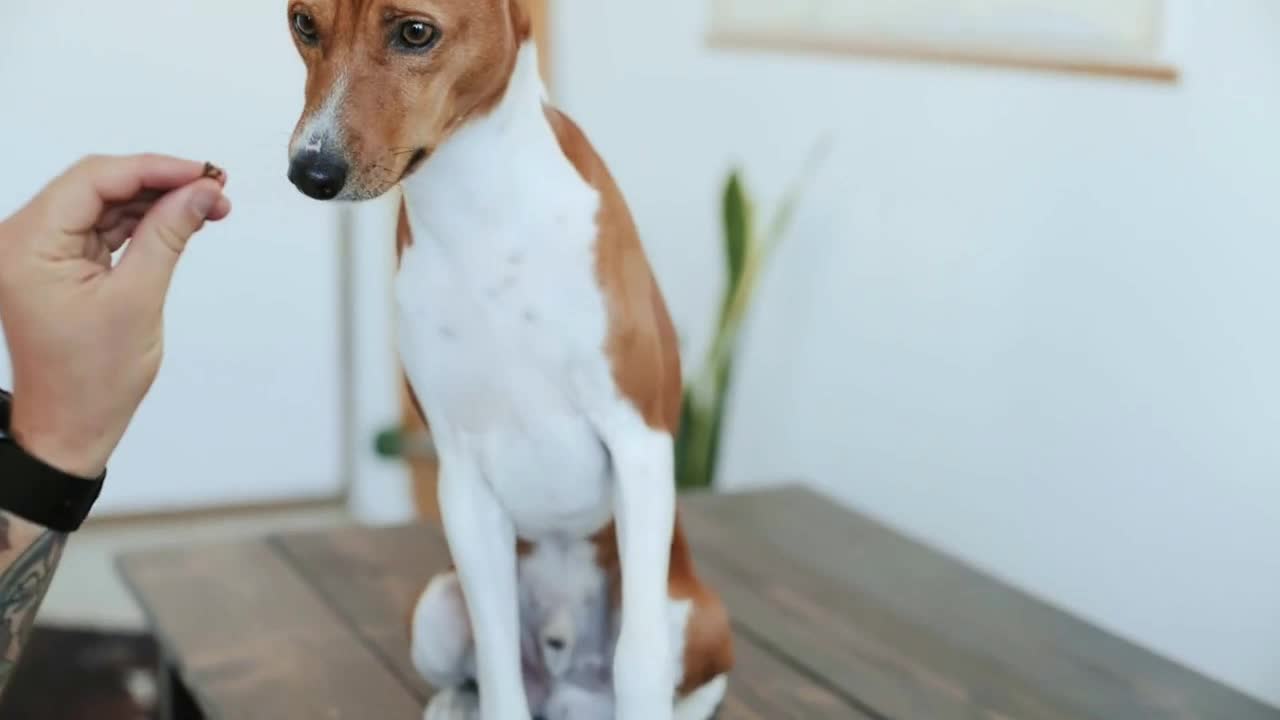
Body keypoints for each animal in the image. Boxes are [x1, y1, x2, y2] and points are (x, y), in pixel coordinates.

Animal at [285, 1, 737, 717]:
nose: (309, 171)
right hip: (436, 612)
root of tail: (568, 687)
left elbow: (639, 662)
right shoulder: (463, 476)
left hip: (695, 613)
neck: (482, 218)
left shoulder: (639, 442)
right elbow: (497, 674)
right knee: (471, 679)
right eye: (303, 23)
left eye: (415, 32)